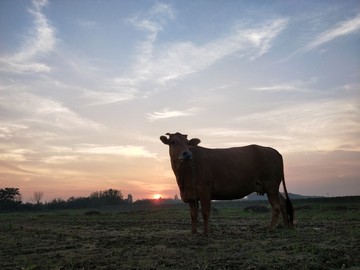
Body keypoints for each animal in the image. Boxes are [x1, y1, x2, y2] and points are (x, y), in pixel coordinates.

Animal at [160, 132, 292, 235]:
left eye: (188, 143)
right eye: (173, 142)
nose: (187, 154)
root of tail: (274, 151)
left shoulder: (205, 190)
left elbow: (205, 212)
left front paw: (206, 233)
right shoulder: (191, 194)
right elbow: (193, 215)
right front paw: (193, 232)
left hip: (271, 185)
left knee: (276, 206)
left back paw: (270, 228)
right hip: (272, 187)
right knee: (283, 203)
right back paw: (285, 226)